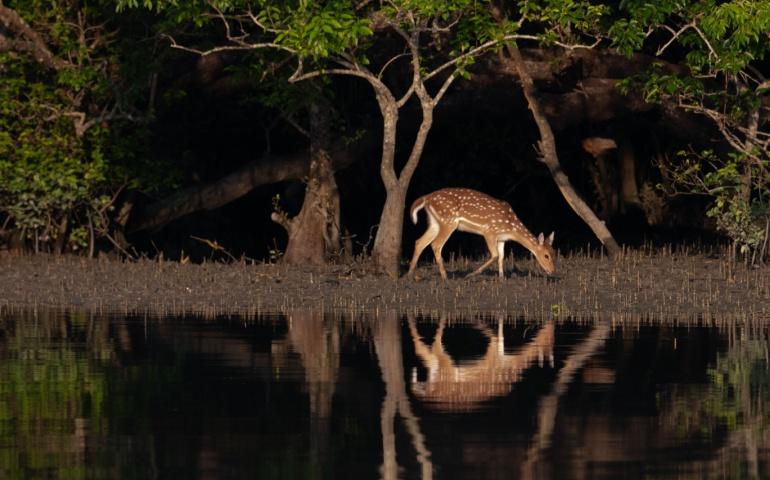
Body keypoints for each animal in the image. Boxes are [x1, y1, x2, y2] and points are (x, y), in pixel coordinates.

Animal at [407, 188, 555, 279]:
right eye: (546, 255)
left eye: (553, 253)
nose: (552, 270)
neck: (511, 228)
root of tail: (426, 198)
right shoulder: (489, 231)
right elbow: (495, 255)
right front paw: (471, 275)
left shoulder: (502, 238)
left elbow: (501, 257)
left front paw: (502, 277)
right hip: (448, 221)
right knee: (436, 244)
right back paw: (445, 277)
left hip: (435, 222)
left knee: (419, 241)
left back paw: (409, 274)